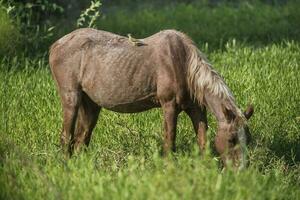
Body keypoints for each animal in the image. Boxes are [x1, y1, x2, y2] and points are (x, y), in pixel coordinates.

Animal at [49, 28, 253, 168]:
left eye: (247, 140)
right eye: (231, 139)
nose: (240, 171)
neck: (183, 63)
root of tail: (55, 45)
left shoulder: (196, 108)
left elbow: (203, 140)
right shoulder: (169, 105)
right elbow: (170, 140)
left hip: (91, 104)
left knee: (80, 139)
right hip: (71, 97)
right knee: (66, 137)